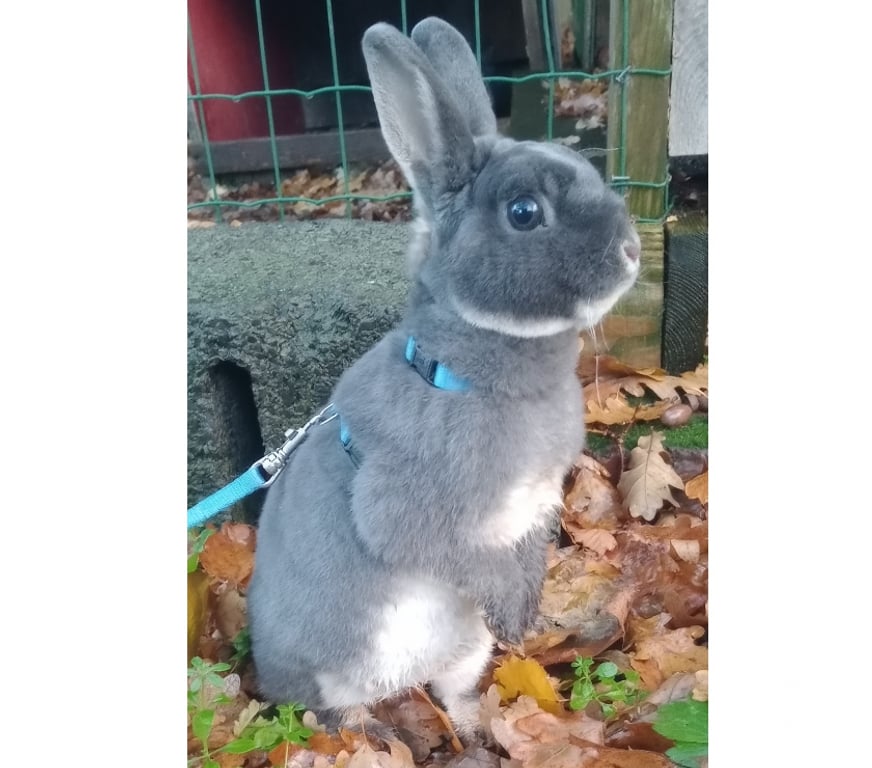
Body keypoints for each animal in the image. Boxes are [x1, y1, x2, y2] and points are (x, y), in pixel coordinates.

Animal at [247, 16, 641, 743]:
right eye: (523, 212)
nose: (631, 252)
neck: (465, 376)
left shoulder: (532, 512)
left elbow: (523, 561)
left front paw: (524, 617)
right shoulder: (412, 514)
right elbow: (467, 562)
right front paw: (515, 617)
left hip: (464, 652)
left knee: (453, 691)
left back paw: (477, 729)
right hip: (330, 673)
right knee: (336, 716)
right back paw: (377, 735)